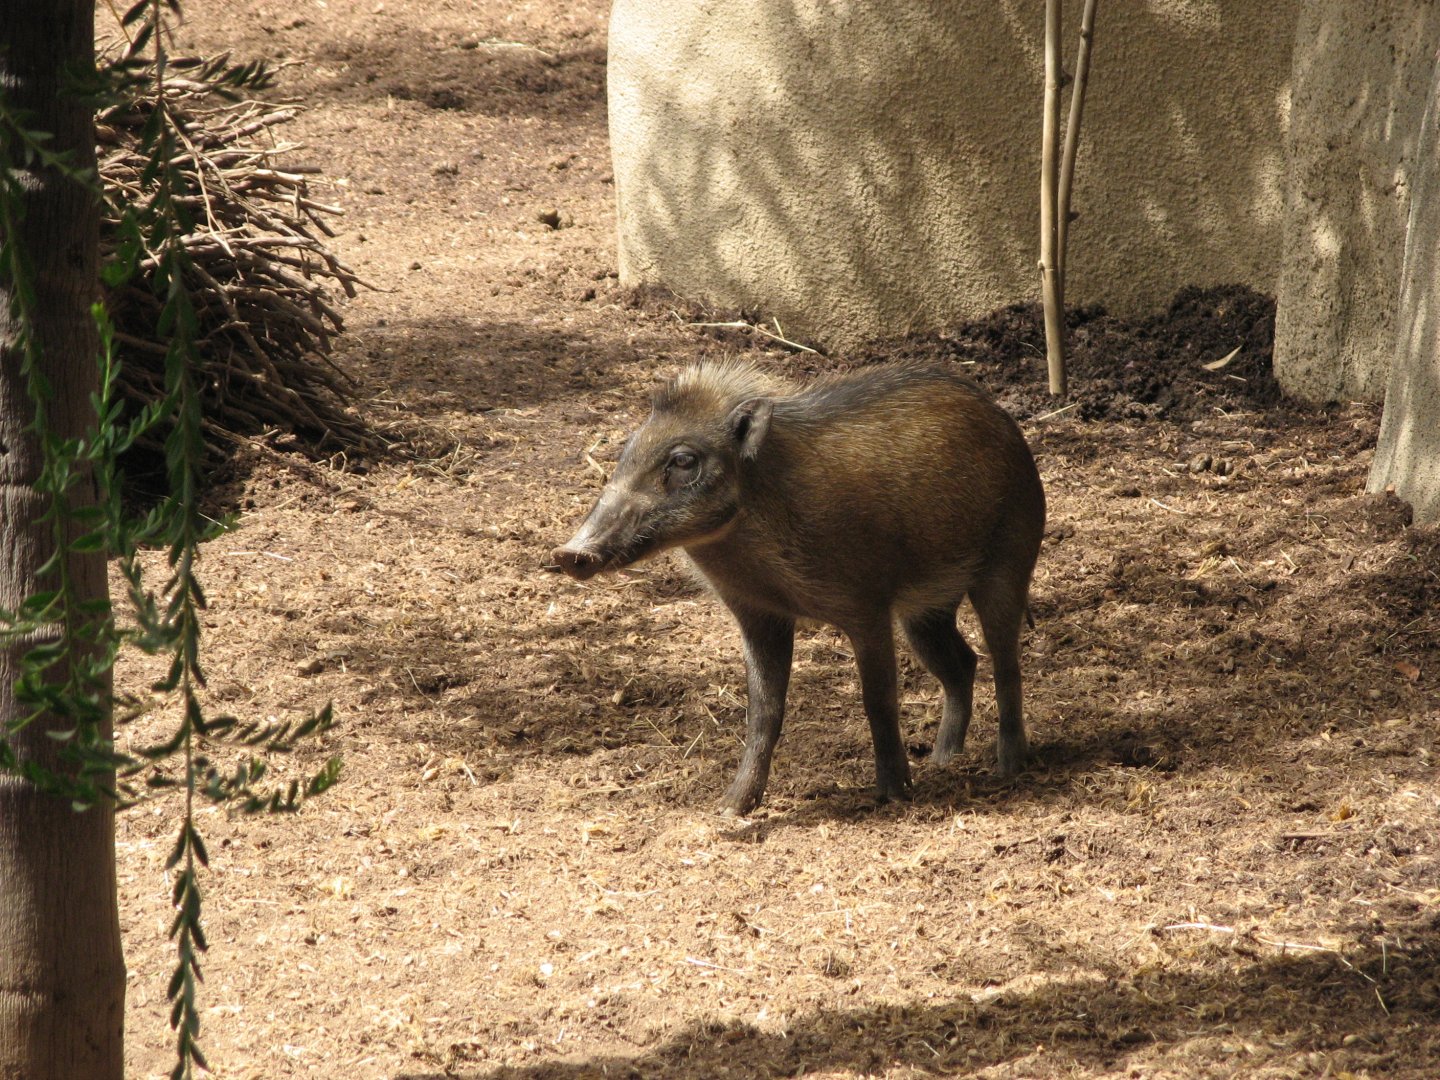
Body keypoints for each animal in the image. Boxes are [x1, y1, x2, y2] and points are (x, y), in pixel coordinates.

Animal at [551, 359, 1045, 814]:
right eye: (626, 453)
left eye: (684, 460)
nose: (569, 553)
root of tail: (1003, 418)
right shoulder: (758, 614)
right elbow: (763, 711)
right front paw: (731, 808)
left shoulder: (866, 607)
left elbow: (878, 698)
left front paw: (893, 795)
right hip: (926, 609)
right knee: (962, 662)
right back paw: (944, 761)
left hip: (1007, 561)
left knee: (1006, 661)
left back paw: (1008, 766)